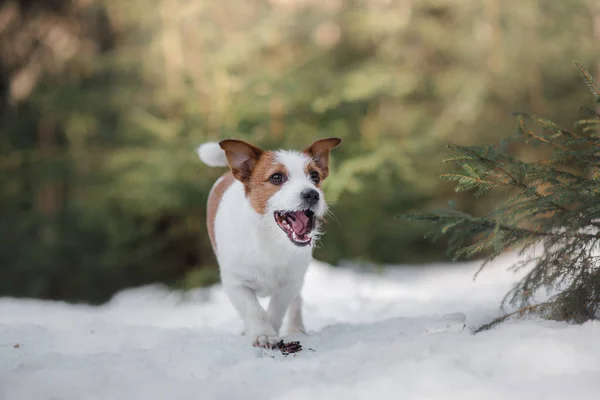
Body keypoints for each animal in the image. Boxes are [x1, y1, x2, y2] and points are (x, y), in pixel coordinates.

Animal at [198, 137, 342, 346]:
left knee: (296, 302)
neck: (270, 240)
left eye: (315, 176)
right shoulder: (236, 284)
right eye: (276, 177)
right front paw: (263, 334)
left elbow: (276, 310)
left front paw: (271, 332)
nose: (312, 194)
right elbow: (254, 310)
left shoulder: (290, 284)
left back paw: (297, 329)